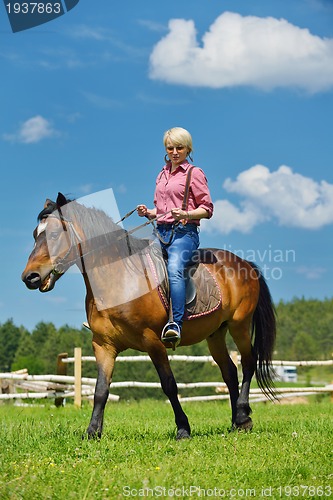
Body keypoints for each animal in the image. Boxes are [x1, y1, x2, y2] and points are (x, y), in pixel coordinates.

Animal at [21, 193, 274, 440]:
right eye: (34, 235)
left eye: (54, 234)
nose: (29, 277)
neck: (119, 279)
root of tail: (244, 264)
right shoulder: (103, 345)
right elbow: (101, 390)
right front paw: (92, 432)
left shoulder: (153, 341)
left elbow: (169, 384)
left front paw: (183, 429)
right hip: (215, 333)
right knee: (229, 372)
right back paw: (235, 423)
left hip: (239, 325)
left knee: (248, 363)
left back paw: (243, 417)